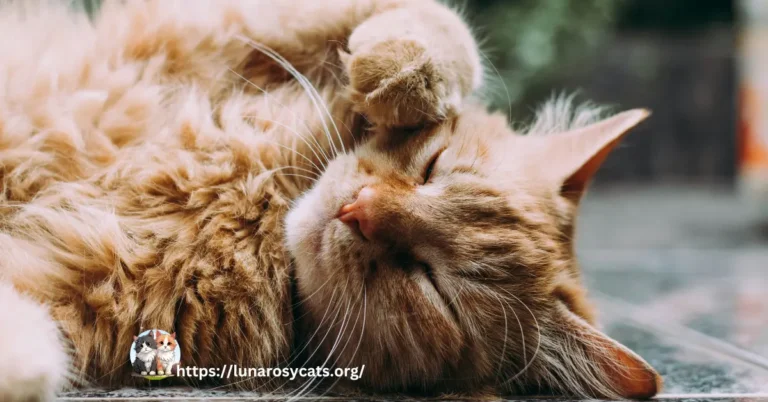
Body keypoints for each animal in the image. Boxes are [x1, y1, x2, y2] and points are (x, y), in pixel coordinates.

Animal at [0, 0, 660, 400]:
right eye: (432, 167)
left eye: (435, 288)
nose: (358, 210)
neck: (267, 196)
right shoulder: (204, 29)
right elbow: (445, 28)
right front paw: (400, 73)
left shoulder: (86, 302)